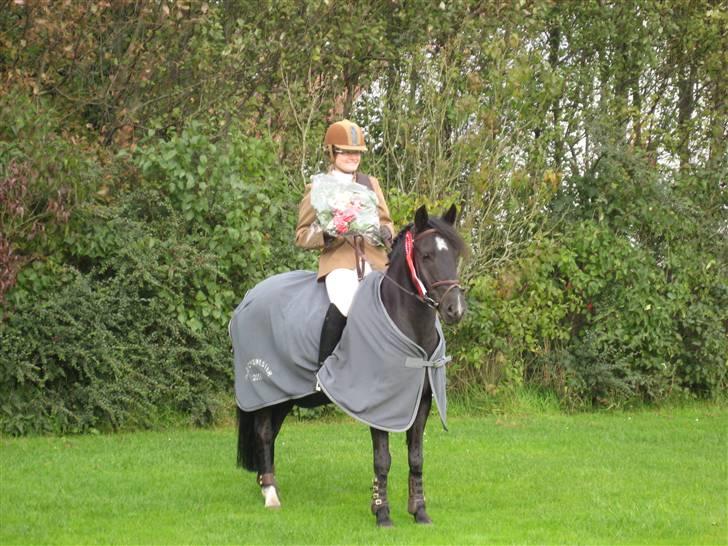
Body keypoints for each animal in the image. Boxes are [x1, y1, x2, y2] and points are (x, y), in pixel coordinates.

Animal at [231, 204, 467, 527]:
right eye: (427, 255)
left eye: (454, 254)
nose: (455, 309)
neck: (406, 325)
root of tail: (250, 297)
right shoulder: (377, 406)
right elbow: (383, 459)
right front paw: (382, 513)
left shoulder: (421, 403)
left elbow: (416, 457)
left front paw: (419, 511)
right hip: (264, 390)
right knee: (264, 434)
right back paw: (270, 495)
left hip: (282, 394)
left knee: (269, 434)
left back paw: (266, 484)